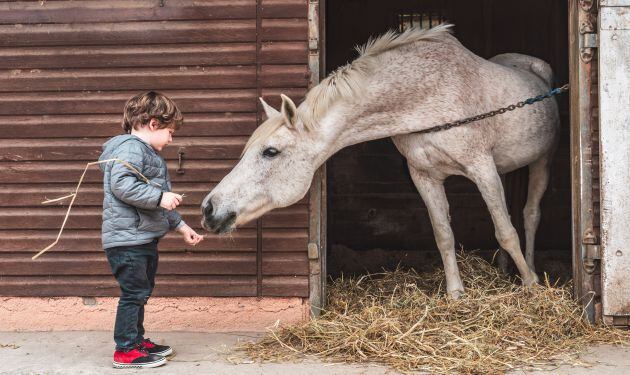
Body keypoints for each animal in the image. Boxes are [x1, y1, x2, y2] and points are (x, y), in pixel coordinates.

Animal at [201, 25, 556, 298]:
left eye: (270, 152)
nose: (208, 209)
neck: (428, 97)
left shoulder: (481, 168)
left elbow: (505, 230)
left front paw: (531, 285)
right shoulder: (424, 175)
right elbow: (443, 235)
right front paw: (456, 294)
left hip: (541, 161)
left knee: (530, 215)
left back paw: (531, 269)